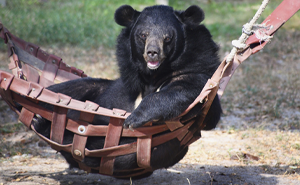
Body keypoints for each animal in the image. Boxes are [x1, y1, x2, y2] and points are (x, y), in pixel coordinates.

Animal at [32, 4, 221, 178]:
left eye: (167, 38)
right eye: (143, 35)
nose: (153, 53)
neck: (152, 75)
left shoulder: (198, 66)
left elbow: (190, 90)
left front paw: (133, 119)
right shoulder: (126, 84)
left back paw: (43, 125)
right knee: (74, 88)